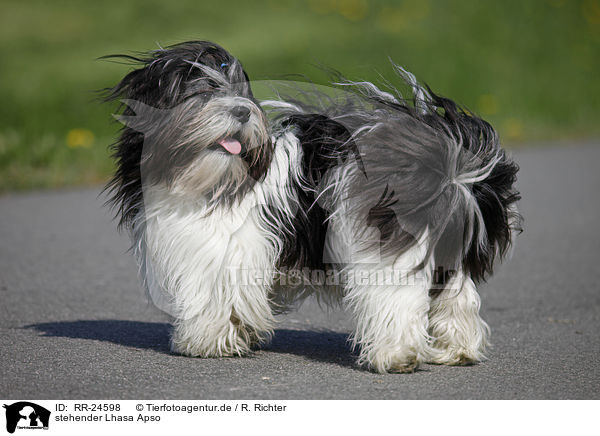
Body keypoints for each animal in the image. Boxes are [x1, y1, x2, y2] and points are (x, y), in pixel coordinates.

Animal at [104, 41, 520, 372]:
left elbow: (216, 298)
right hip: (446, 246)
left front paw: (206, 342)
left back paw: (394, 356)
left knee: (397, 297)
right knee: (456, 295)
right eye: (202, 91)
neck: (209, 178)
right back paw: (456, 351)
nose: (242, 111)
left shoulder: (222, 250)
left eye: (243, 94)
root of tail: (445, 162)